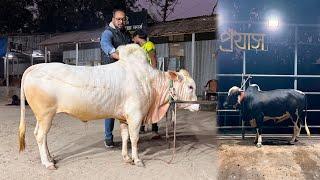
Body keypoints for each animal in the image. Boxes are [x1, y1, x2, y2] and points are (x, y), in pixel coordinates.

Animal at [18, 43, 199, 169]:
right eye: (191, 87)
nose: (197, 106)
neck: (149, 81)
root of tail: (35, 67)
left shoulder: (124, 117)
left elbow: (125, 137)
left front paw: (127, 157)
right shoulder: (136, 116)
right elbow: (134, 138)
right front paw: (137, 159)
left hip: (42, 116)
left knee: (40, 135)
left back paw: (50, 158)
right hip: (46, 115)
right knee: (40, 136)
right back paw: (47, 163)